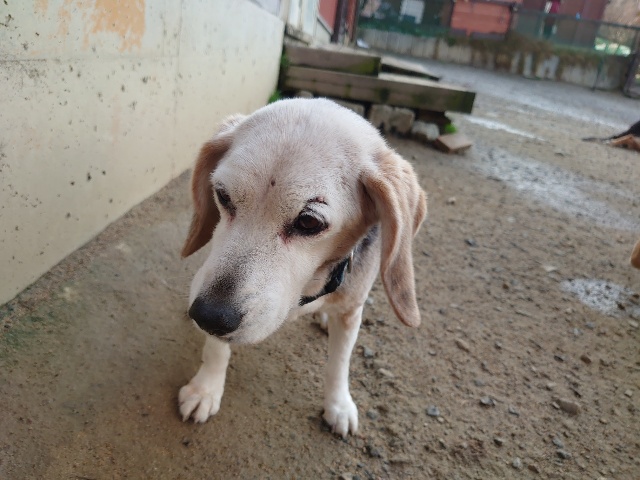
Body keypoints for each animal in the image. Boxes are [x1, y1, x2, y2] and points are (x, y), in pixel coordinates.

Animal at [178, 98, 427, 438]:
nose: (207, 316)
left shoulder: (351, 311)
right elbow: (215, 348)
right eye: (222, 195)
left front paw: (338, 406)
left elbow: (339, 364)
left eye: (309, 222)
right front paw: (205, 389)